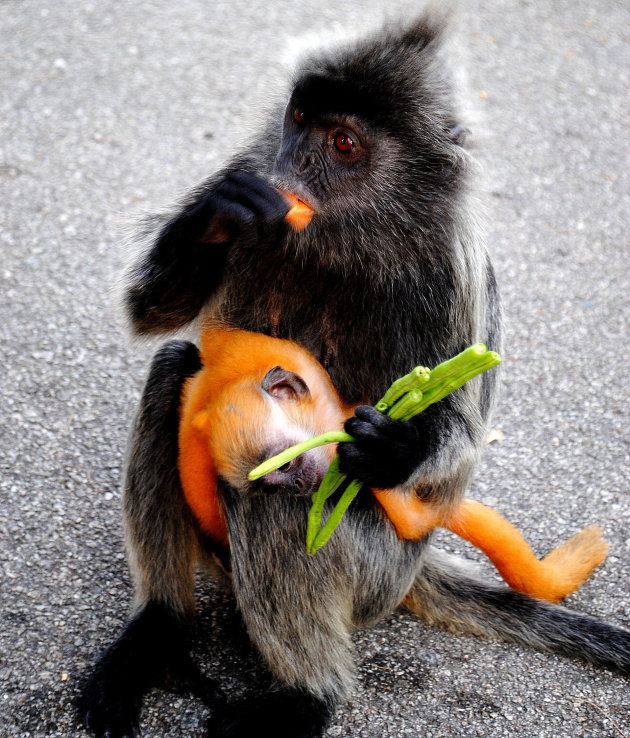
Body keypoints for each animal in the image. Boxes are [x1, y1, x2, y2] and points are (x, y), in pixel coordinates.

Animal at [79, 10, 630, 736]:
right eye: (298, 119)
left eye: (342, 143)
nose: (292, 167)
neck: (347, 233)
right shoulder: (252, 164)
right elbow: (149, 312)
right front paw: (216, 217)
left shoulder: (454, 267)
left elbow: (455, 447)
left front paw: (394, 448)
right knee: (175, 366)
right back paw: (158, 629)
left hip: (375, 572)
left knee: (277, 497)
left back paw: (309, 696)